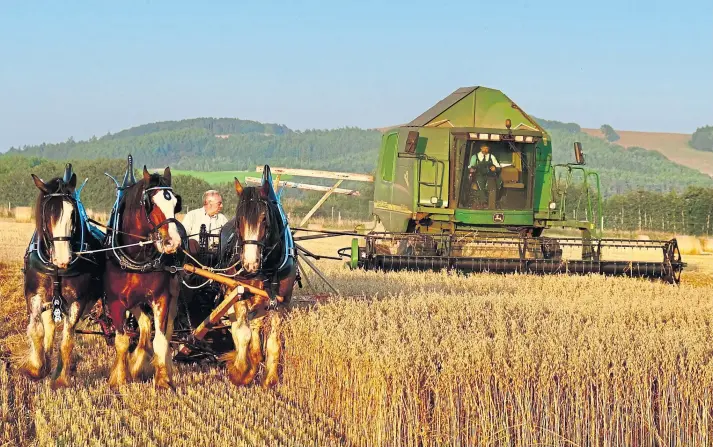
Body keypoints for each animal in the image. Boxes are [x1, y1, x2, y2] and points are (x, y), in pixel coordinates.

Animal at [19, 164, 105, 388]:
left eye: (73, 213)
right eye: (47, 212)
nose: (63, 258)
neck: (56, 269)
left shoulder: (77, 301)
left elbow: (67, 339)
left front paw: (60, 378)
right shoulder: (34, 295)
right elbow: (37, 330)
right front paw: (36, 368)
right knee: (48, 325)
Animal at [104, 166, 186, 390]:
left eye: (175, 203)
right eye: (151, 204)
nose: (173, 242)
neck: (137, 256)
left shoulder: (161, 298)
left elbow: (160, 340)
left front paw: (162, 380)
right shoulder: (116, 301)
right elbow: (122, 342)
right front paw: (120, 379)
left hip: (173, 295)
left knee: (164, 330)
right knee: (143, 325)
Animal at [216, 168, 296, 388]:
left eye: (264, 219)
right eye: (238, 220)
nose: (250, 264)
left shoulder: (280, 301)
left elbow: (274, 341)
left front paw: (270, 378)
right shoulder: (238, 293)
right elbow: (242, 333)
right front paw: (241, 371)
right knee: (237, 326)